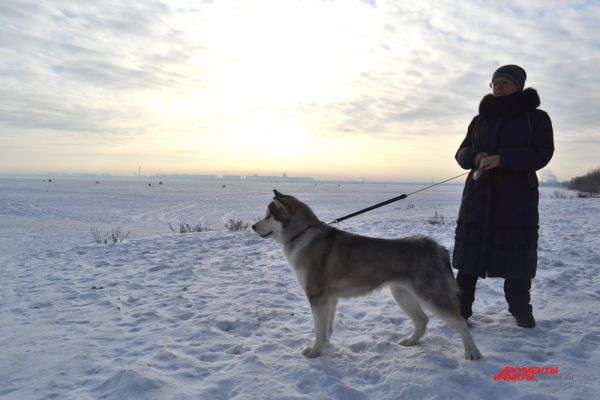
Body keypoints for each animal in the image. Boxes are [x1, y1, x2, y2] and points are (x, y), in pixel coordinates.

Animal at [252, 189, 482, 360]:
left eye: (268, 216)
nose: (252, 226)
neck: (302, 236)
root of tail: (436, 247)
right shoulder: (330, 299)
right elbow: (327, 329)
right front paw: (325, 346)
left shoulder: (316, 297)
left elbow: (319, 329)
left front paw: (315, 352)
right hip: (401, 294)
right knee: (422, 320)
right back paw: (410, 342)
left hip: (431, 296)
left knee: (460, 321)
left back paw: (472, 352)